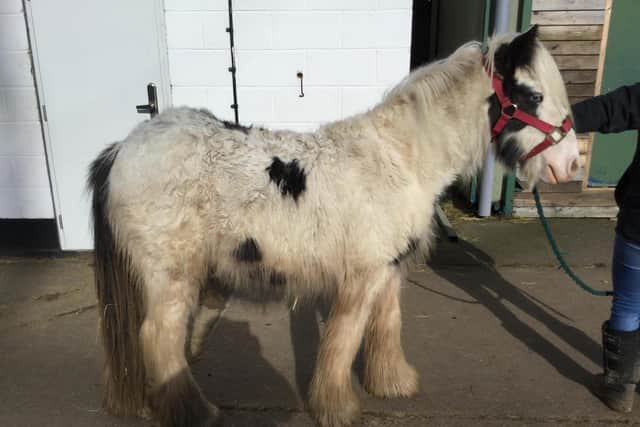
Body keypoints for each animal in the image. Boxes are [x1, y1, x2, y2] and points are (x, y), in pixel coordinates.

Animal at [88, 25, 579, 427]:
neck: (400, 159)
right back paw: (195, 412)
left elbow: (388, 327)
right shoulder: (360, 277)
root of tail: (122, 149)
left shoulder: (388, 271)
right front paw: (337, 408)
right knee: (159, 338)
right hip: (171, 277)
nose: (570, 164)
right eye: (534, 96)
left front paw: (393, 383)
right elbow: (344, 341)